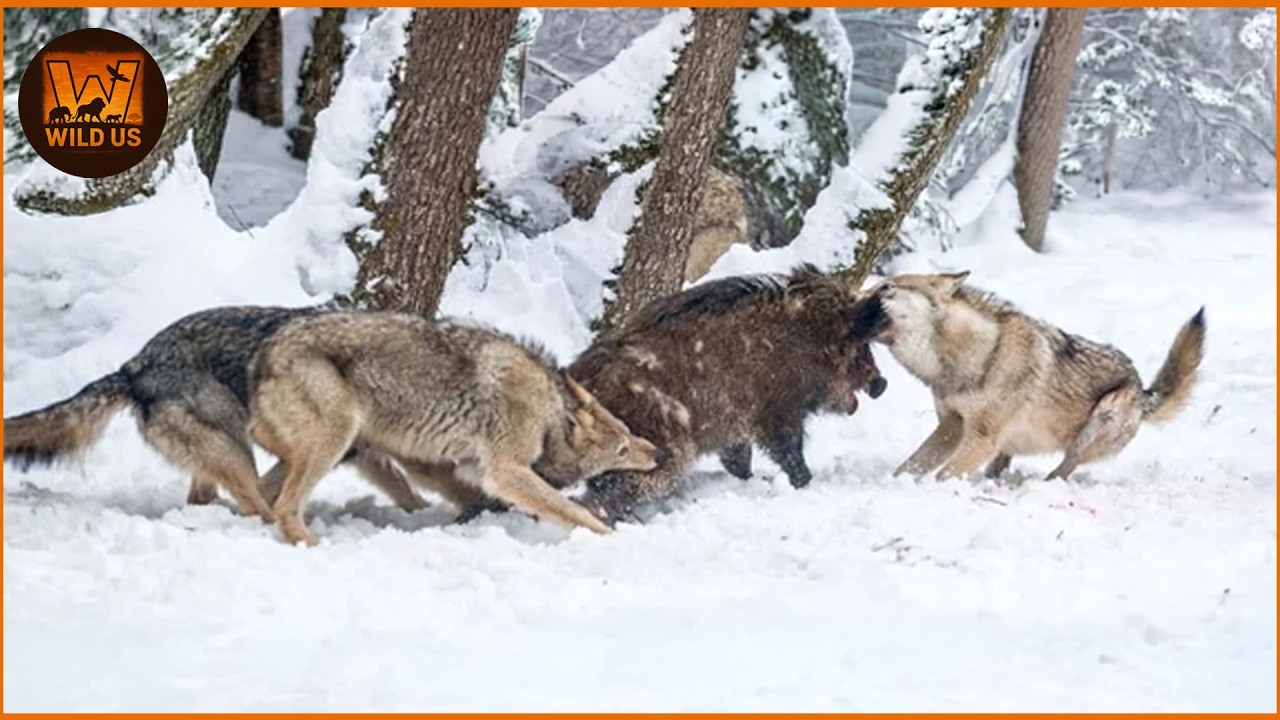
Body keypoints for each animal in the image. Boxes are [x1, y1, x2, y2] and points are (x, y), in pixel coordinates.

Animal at [3, 305, 433, 520]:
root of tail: (133, 367)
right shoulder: (345, 447)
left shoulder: (361, 452)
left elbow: (406, 491)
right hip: (235, 450)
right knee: (256, 504)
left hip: (221, 453)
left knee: (207, 497)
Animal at [246, 312, 662, 545]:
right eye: (622, 450)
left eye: (628, 431)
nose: (656, 453)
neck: (548, 413)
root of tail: (262, 357)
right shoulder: (506, 471)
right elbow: (571, 510)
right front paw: (610, 537)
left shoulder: (457, 467)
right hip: (337, 437)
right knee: (285, 507)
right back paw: (315, 545)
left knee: (262, 492)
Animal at [562, 265, 889, 524]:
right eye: (857, 342)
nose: (881, 384)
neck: (806, 342)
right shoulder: (777, 414)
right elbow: (791, 455)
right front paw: (804, 484)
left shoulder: (736, 428)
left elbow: (740, 461)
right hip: (662, 452)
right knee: (607, 493)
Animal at [871, 271, 1206, 481]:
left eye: (886, 288)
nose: (858, 295)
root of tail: (1143, 388)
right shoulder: (951, 427)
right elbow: (908, 468)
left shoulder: (981, 438)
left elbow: (941, 476)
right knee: (1002, 465)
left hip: (1100, 418)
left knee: (1065, 469)